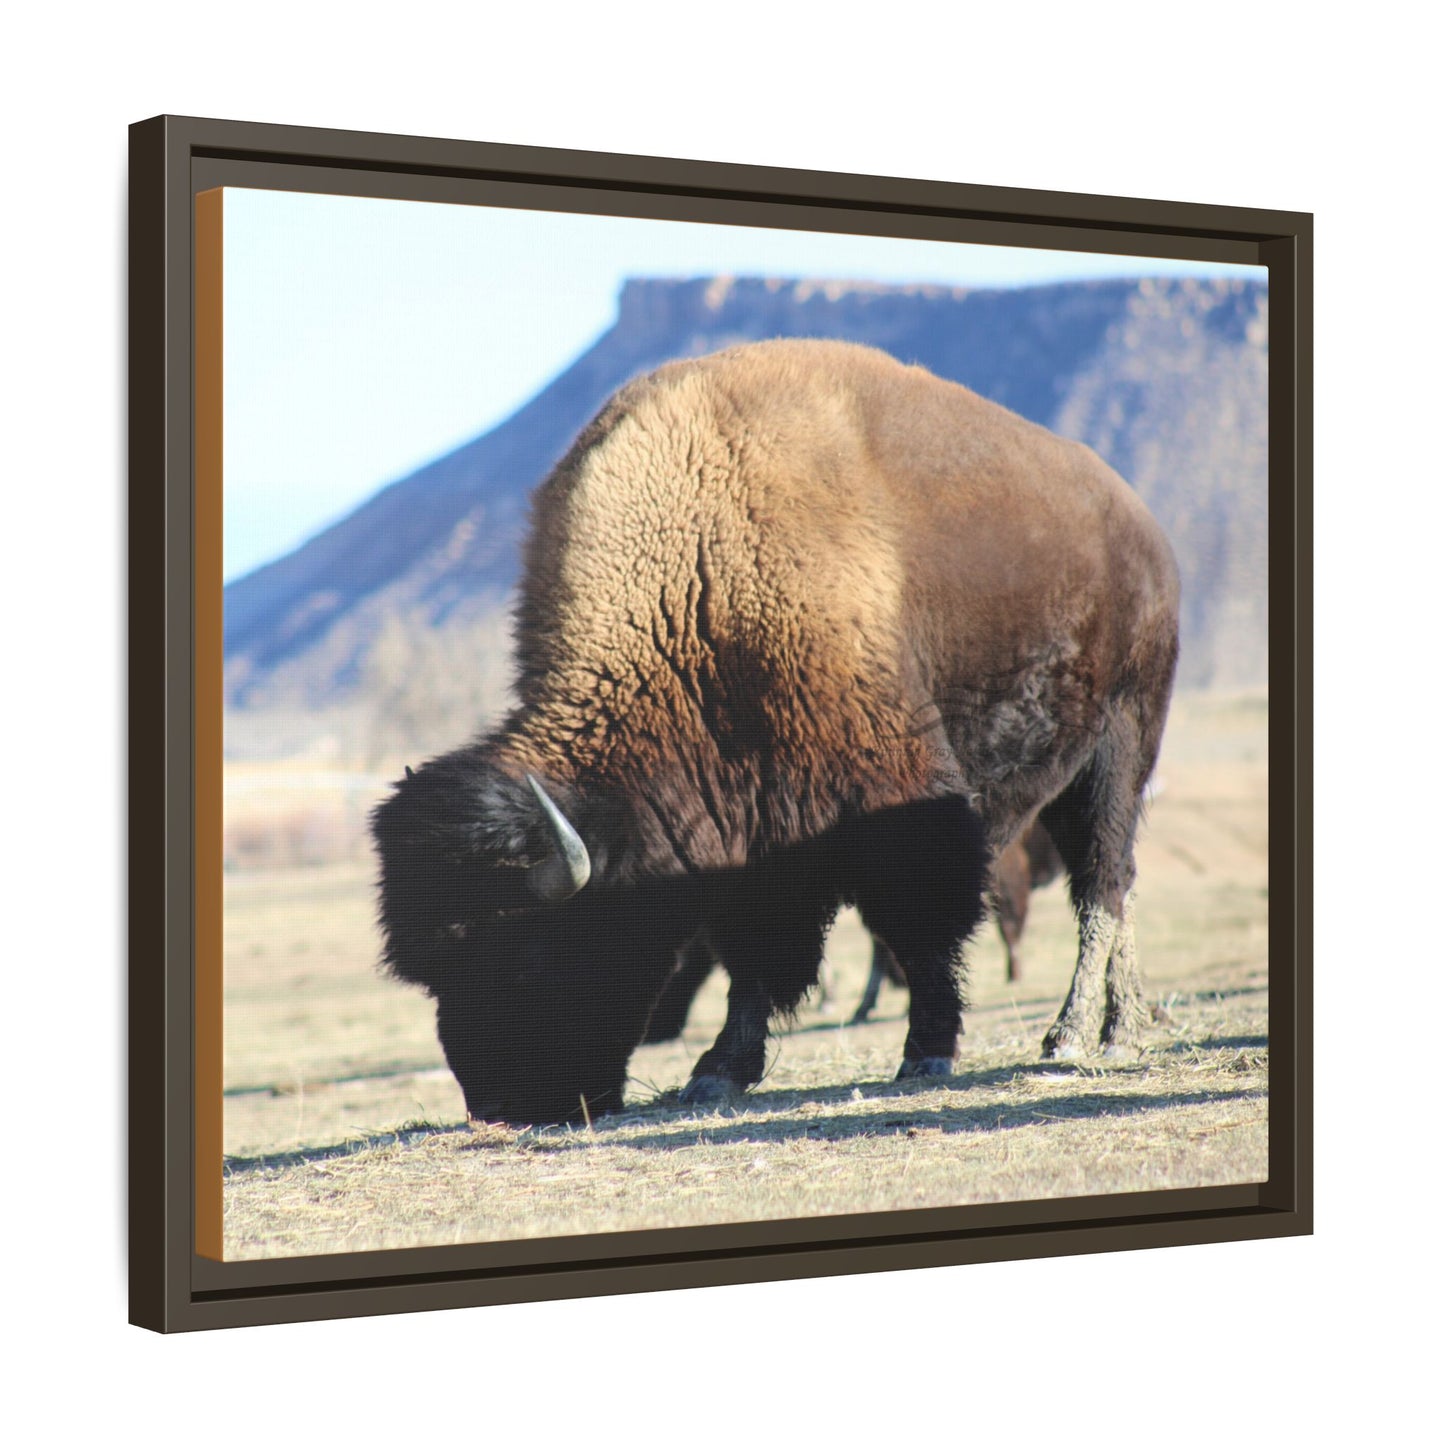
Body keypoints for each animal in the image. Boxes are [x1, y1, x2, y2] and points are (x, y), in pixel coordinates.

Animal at [372, 339, 1180, 1125]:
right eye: (433, 972)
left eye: (526, 951)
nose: (498, 1107)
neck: (696, 583)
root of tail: (1141, 527)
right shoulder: (750, 833)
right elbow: (755, 954)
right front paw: (719, 1071)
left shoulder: (896, 799)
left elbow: (918, 926)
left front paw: (926, 1051)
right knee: (1117, 884)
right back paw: (1121, 1024)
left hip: (1118, 748)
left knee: (1101, 884)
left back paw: (1077, 1034)